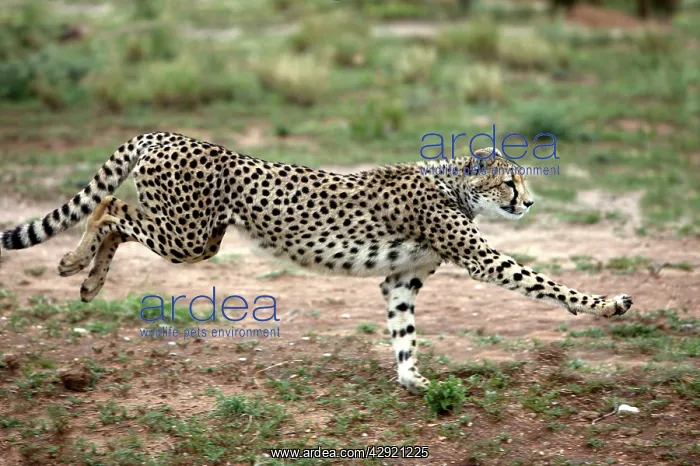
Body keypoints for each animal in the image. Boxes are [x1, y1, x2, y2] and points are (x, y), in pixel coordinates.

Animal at [0, 131, 633, 393]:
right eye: (508, 182)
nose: (528, 202)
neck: (453, 185)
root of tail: (168, 134)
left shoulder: (399, 279)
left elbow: (403, 331)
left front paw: (411, 379)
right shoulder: (480, 258)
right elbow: (543, 281)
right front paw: (607, 303)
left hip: (194, 236)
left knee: (113, 210)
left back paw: (84, 279)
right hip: (189, 235)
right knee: (110, 208)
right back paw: (76, 268)